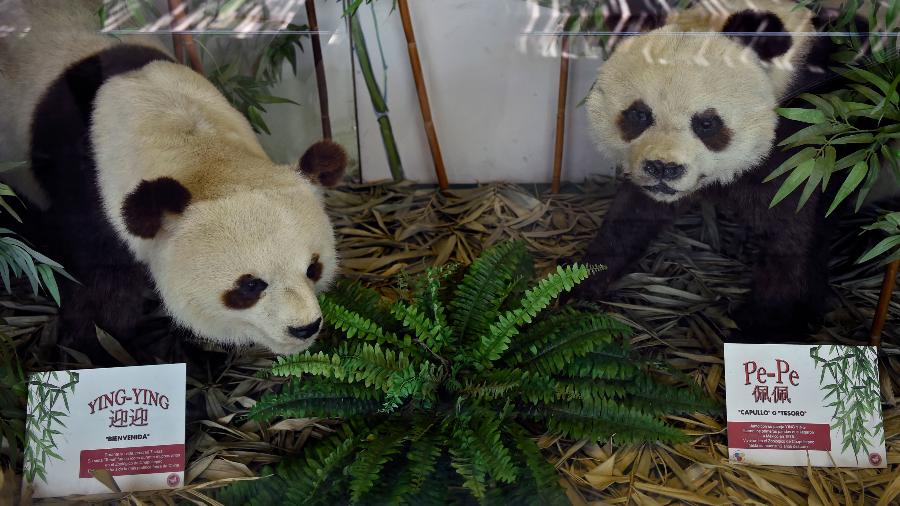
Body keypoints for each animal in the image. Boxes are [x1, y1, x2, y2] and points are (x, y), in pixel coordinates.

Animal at [0, 0, 348, 358]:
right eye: (250, 285)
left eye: (313, 268)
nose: (304, 327)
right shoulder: (86, 189)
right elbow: (100, 287)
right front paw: (102, 346)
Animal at [576, 0, 880, 342]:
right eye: (639, 114)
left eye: (707, 123)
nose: (664, 169)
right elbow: (633, 213)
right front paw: (583, 279)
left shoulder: (806, 143)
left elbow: (793, 234)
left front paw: (764, 326)